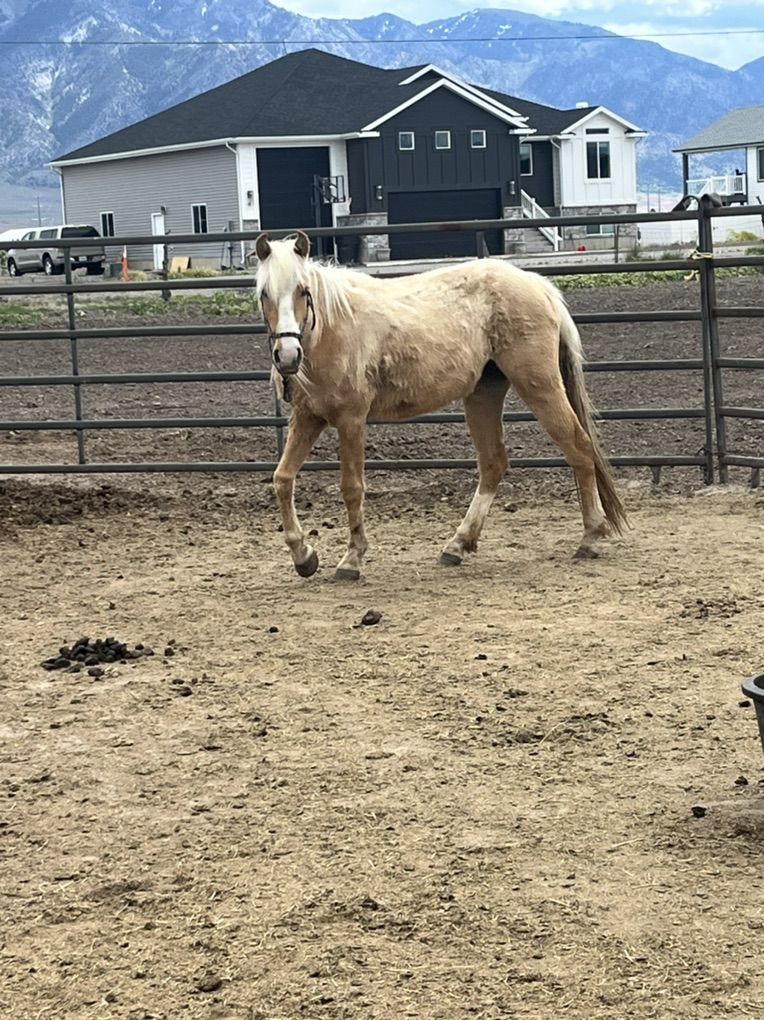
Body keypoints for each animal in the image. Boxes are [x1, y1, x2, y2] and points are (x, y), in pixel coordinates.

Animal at [255, 230, 627, 580]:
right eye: (264, 294)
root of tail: (538, 285)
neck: (333, 330)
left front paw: (351, 560)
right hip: (482, 395)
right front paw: (304, 557)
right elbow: (282, 479)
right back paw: (457, 545)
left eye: (303, 291)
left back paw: (590, 537)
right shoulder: (308, 418)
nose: (287, 355)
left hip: (540, 386)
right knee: (493, 464)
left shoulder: (351, 420)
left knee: (578, 446)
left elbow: (351, 488)